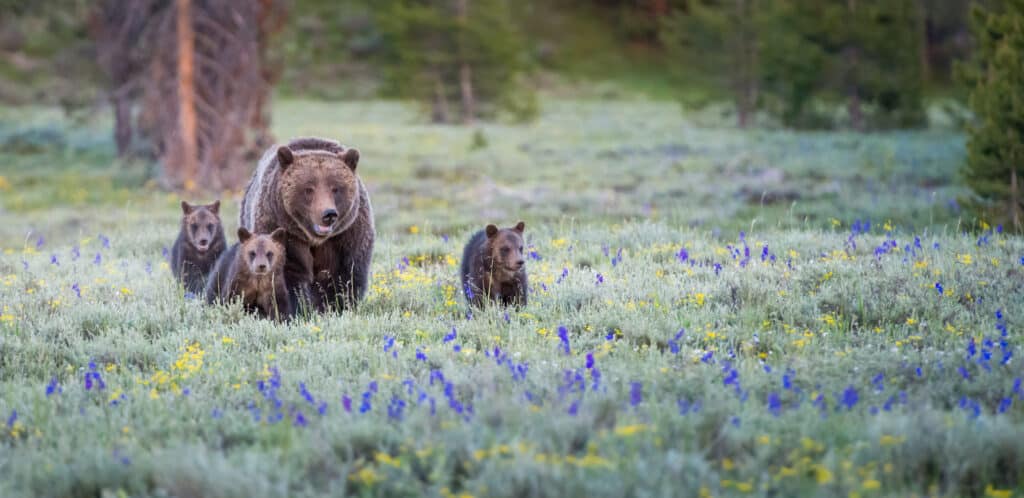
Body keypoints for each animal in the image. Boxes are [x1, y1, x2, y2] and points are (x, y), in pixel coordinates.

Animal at [240, 136, 376, 313]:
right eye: (308, 189)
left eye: (335, 188)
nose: (328, 214)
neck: (314, 239)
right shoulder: (282, 230)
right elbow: (286, 275)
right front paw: (298, 309)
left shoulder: (346, 237)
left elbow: (345, 277)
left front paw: (335, 307)